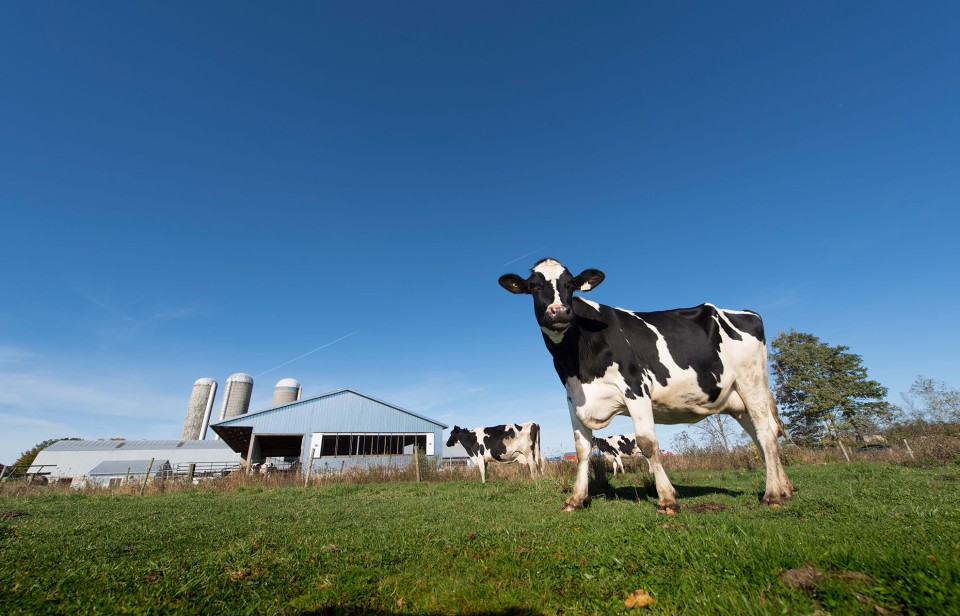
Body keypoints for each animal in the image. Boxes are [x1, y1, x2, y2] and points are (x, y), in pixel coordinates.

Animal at [498, 258, 792, 512]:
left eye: (570, 284)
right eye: (535, 286)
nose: (559, 311)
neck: (578, 360)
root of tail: (744, 312)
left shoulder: (636, 388)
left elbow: (648, 443)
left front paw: (667, 499)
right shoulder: (573, 398)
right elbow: (582, 450)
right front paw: (576, 499)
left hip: (751, 380)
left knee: (766, 433)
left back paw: (772, 495)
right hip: (737, 400)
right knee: (759, 435)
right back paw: (785, 488)